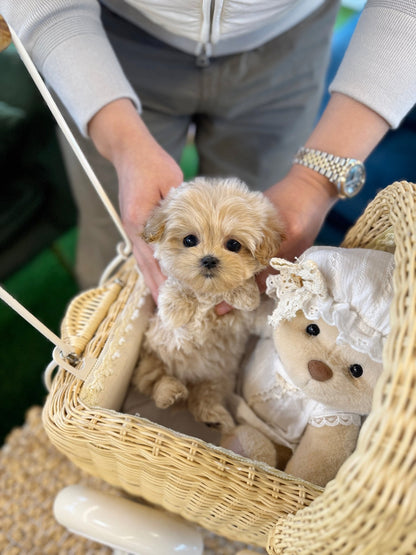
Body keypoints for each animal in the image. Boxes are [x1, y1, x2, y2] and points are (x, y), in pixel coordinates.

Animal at [133, 176, 286, 432]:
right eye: (189, 240)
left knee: (204, 396)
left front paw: (245, 294)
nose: (209, 260)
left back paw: (214, 416)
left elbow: (248, 303)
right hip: (153, 357)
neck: (207, 296)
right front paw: (175, 309)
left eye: (233, 245)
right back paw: (170, 392)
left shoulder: (242, 320)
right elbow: (177, 284)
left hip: (217, 378)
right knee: (154, 381)